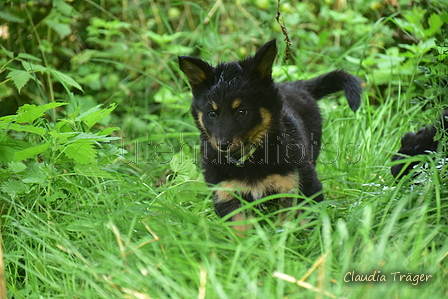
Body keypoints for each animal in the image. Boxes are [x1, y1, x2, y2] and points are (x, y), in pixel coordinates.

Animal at [178, 39, 360, 232]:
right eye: (212, 114)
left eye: (242, 112)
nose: (222, 145)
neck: (250, 160)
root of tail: (297, 86)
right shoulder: (226, 194)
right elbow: (240, 231)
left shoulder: (302, 185)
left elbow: (305, 224)